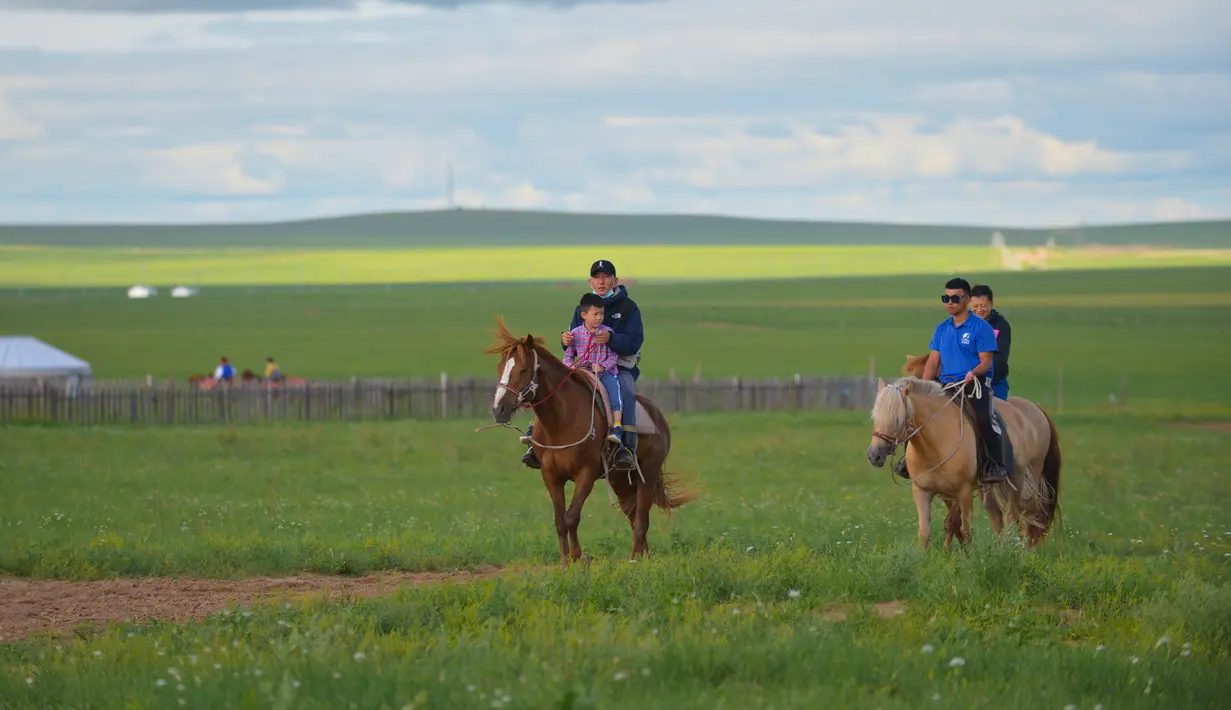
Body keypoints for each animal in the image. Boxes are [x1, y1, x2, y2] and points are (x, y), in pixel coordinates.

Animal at [482, 315, 699, 566]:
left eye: (523, 370)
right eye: (501, 368)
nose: (499, 410)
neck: (563, 420)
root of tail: (658, 417)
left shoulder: (585, 474)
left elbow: (572, 516)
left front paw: (578, 556)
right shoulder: (551, 476)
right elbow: (560, 520)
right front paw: (565, 562)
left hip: (648, 474)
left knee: (642, 517)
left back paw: (635, 559)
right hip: (621, 481)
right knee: (634, 515)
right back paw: (642, 556)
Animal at [866, 361, 1058, 551]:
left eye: (897, 419)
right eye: (874, 417)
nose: (874, 455)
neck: (935, 442)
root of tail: (1034, 410)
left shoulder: (963, 492)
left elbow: (964, 530)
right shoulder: (922, 491)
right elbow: (926, 534)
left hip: (1020, 479)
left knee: (1018, 514)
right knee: (999, 516)